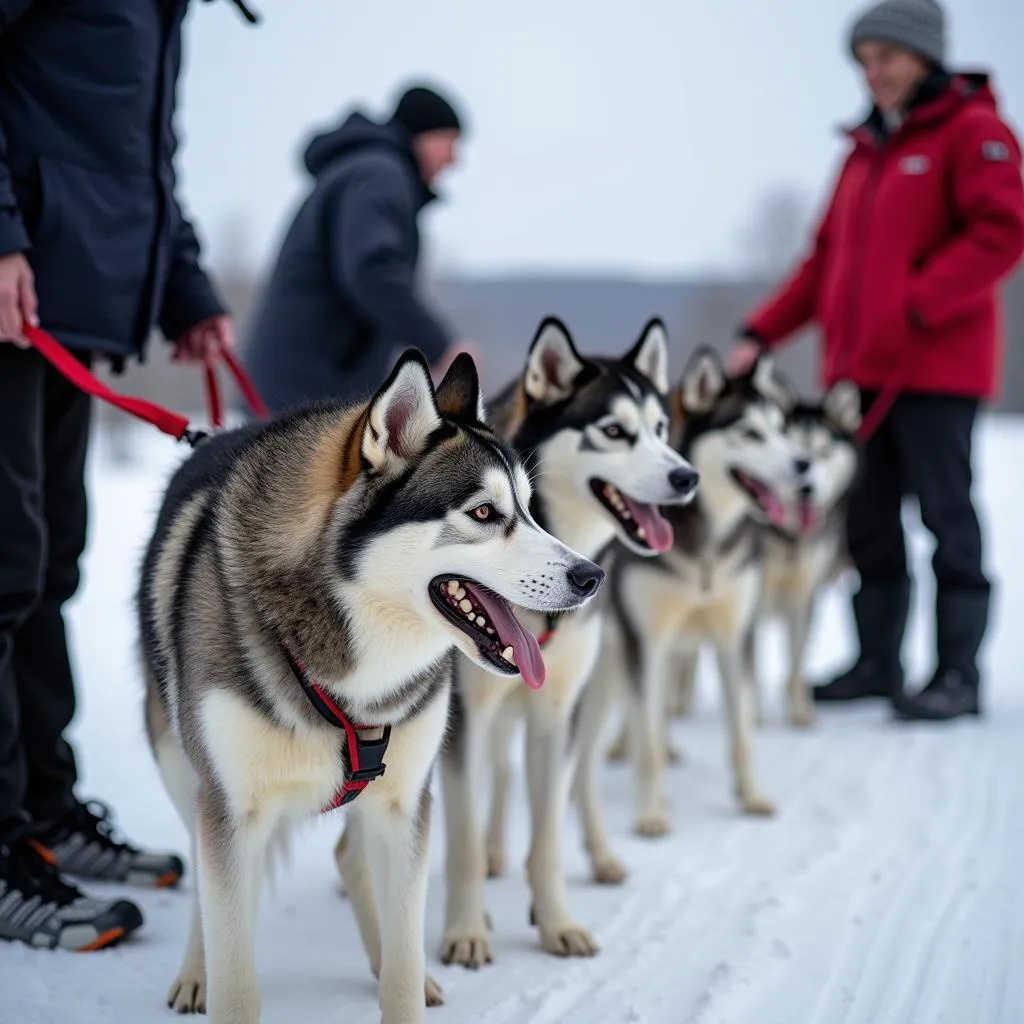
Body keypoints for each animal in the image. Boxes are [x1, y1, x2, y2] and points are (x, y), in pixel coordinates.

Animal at [139, 352, 606, 1024]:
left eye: (529, 507)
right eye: (484, 513)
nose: (591, 576)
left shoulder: (404, 801)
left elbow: (405, 962)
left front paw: (402, 973)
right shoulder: (230, 805)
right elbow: (234, 961)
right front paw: (219, 975)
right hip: (184, 771)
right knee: (210, 883)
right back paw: (195, 971)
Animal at [436, 317, 700, 966]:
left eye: (660, 429)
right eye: (614, 432)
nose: (687, 476)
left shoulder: (557, 712)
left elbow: (550, 830)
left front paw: (556, 921)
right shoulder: (462, 716)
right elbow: (462, 839)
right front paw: (466, 930)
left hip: (594, 692)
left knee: (575, 782)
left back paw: (599, 856)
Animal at [573, 344, 802, 880]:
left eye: (782, 428)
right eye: (750, 433)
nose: (804, 466)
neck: (706, 547)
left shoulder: (735, 637)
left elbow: (741, 729)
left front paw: (752, 795)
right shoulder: (646, 642)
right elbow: (650, 742)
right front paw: (651, 814)